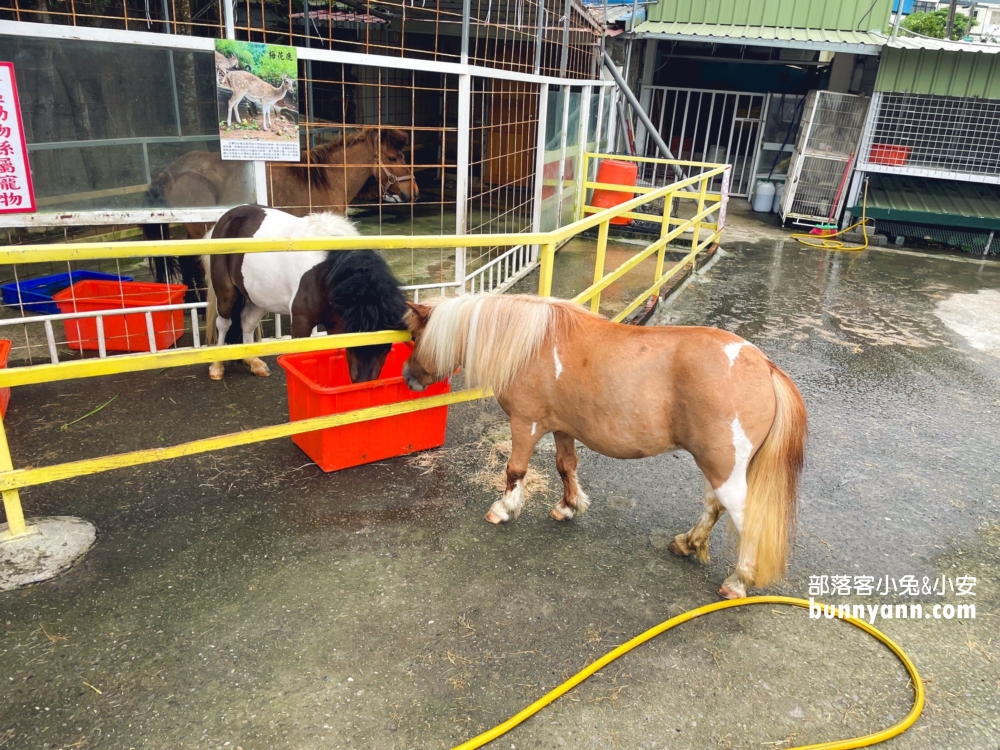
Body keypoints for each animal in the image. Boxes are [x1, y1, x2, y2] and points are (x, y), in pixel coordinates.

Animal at [402, 294, 808, 600]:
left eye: (414, 338)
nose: (408, 379)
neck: (530, 345)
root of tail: (766, 366)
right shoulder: (561, 428)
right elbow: (566, 466)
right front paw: (568, 507)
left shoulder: (525, 423)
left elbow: (515, 470)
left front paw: (503, 509)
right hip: (715, 464)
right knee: (714, 506)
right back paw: (686, 543)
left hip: (724, 467)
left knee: (742, 514)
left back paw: (737, 581)